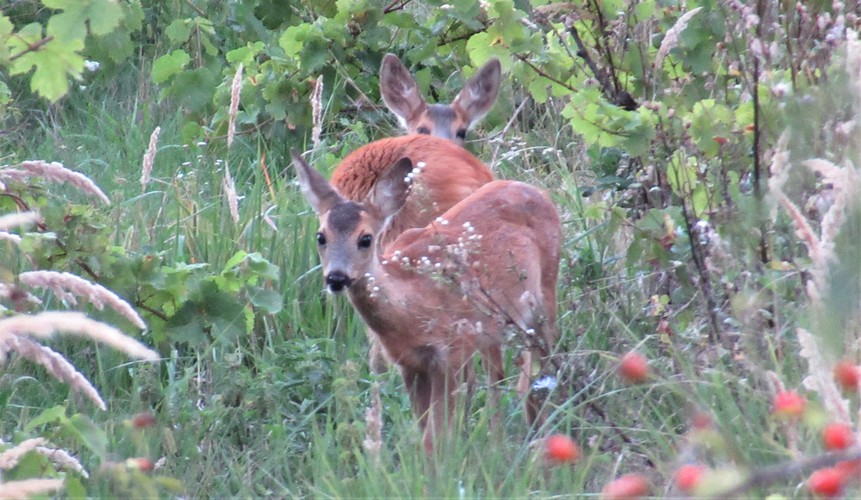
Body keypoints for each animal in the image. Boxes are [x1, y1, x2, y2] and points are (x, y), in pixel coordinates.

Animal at [292, 151, 560, 454]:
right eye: (321, 237)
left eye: (366, 238)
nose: (336, 278)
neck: (410, 308)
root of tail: (538, 192)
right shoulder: (409, 364)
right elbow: (424, 433)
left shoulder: (450, 354)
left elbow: (436, 436)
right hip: (491, 327)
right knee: (499, 377)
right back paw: (500, 443)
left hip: (546, 292)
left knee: (537, 374)